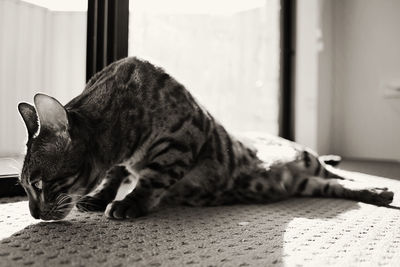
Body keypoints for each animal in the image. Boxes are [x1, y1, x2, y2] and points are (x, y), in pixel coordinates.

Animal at [16, 57, 394, 221]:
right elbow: (114, 174)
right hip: (308, 183)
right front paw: (99, 197)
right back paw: (374, 191)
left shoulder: (181, 141)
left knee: (338, 172)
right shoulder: (123, 160)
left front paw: (129, 203)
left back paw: (379, 187)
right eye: (24, 188)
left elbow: (151, 179)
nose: (33, 214)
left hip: (304, 158)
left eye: (39, 184)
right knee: (337, 185)